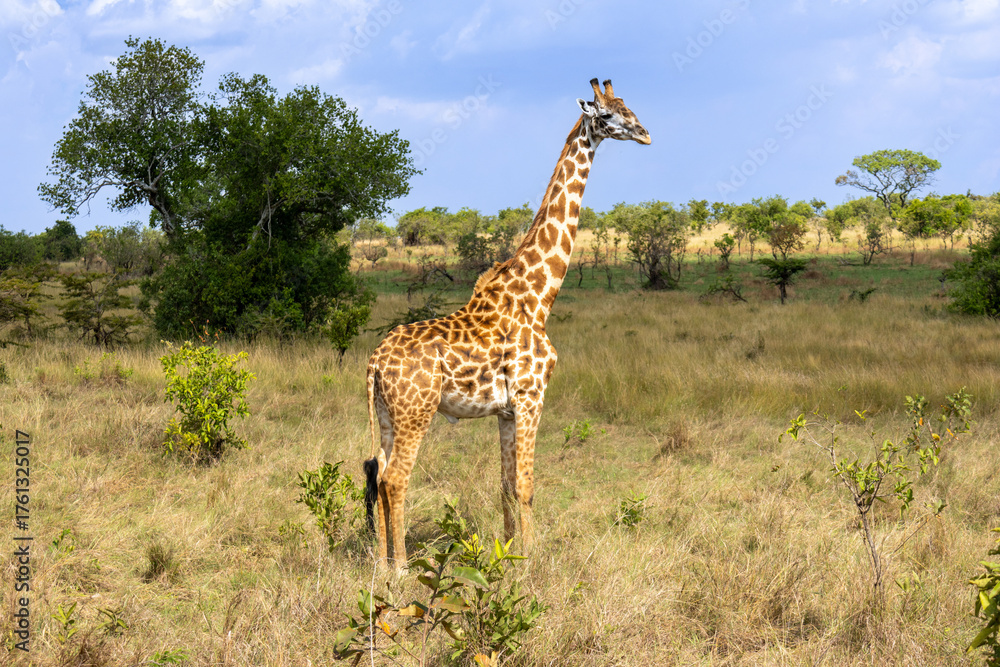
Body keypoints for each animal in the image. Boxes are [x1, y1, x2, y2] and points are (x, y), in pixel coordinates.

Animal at [363, 78, 650, 567]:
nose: (646, 134)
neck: (538, 296)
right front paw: (532, 560)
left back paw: (381, 563)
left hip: (386, 412)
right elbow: (527, 485)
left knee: (378, 472)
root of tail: (374, 363)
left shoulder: (506, 410)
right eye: (608, 115)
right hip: (417, 411)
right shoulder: (533, 397)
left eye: (629, 106)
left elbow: (504, 486)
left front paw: (509, 553)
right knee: (395, 478)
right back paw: (400, 567)